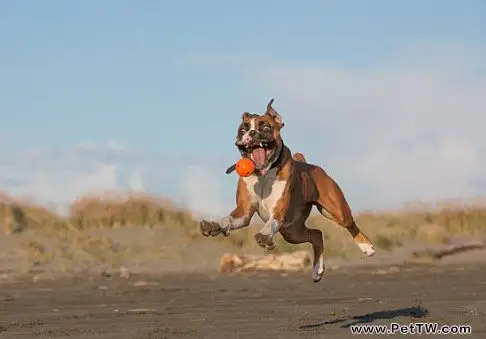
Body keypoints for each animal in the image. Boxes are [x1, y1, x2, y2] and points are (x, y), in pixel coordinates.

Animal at [199, 99, 374, 284]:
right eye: (243, 130)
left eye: (266, 128)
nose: (252, 133)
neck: (263, 173)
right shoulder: (243, 212)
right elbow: (228, 219)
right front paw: (214, 225)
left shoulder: (278, 212)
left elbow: (270, 224)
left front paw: (265, 236)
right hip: (292, 232)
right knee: (317, 235)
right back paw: (317, 269)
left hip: (335, 212)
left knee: (349, 224)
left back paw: (366, 246)